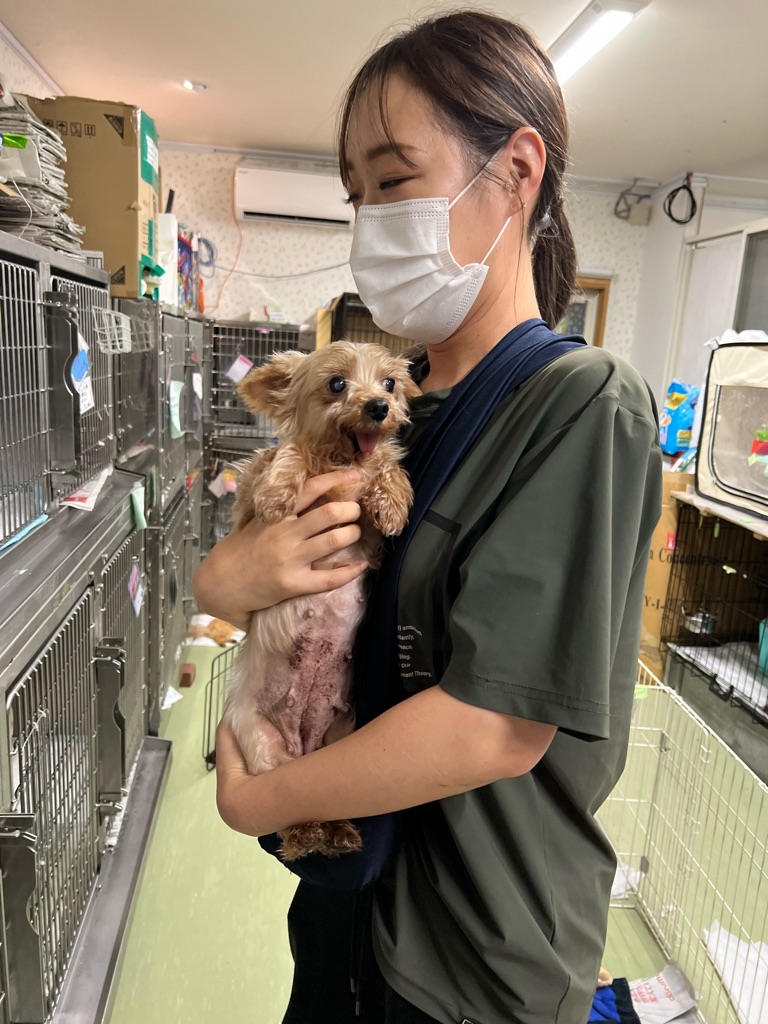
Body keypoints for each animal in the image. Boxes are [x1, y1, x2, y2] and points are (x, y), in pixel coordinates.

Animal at [224, 341, 419, 860]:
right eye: (336, 384)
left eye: (390, 383)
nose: (379, 407)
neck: (339, 460)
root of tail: (303, 744)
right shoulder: (243, 510)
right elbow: (280, 454)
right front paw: (279, 489)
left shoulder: (369, 545)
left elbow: (388, 466)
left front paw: (392, 499)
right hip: (264, 745)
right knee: (288, 802)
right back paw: (305, 836)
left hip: (339, 737)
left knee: (324, 797)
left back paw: (338, 832)